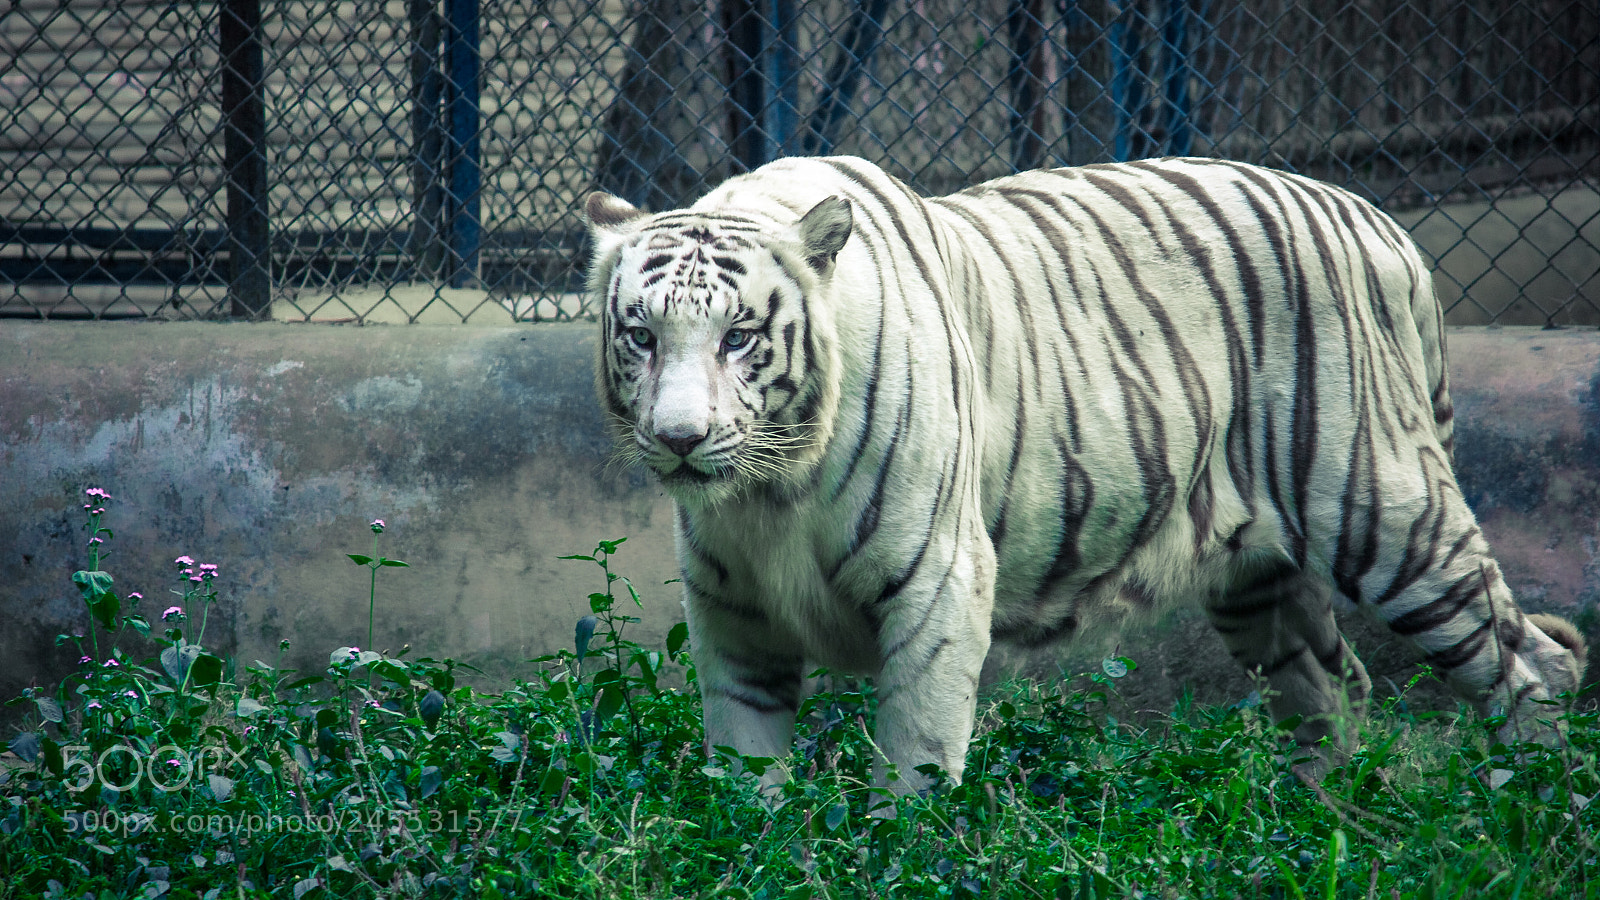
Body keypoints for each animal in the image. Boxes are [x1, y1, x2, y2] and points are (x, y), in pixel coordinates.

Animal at [583, 155, 1588, 805]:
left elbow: (915, 759)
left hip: (1387, 514)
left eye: (738, 337)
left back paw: (1536, 808)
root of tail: (1379, 223)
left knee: (1530, 663)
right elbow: (743, 768)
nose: (678, 439)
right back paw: (1307, 825)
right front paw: (749, 847)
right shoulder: (733, 612)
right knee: (1336, 687)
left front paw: (903, 848)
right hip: (1256, 577)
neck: (770, 492)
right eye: (641, 334)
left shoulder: (939, 582)